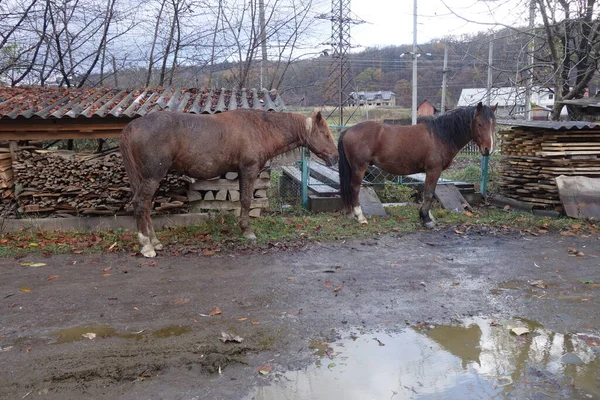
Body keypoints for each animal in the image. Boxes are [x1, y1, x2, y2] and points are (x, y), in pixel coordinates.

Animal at [119, 109, 340, 256]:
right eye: (325, 134)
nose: (335, 158)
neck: (261, 127)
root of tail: (132, 126)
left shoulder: (242, 173)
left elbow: (242, 201)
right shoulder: (249, 170)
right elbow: (246, 201)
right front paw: (248, 231)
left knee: (146, 206)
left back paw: (155, 241)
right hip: (152, 177)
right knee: (141, 204)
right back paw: (146, 246)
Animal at [338, 102, 496, 228]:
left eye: (493, 124)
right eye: (479, 124)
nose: (488, 149)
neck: (440, 136)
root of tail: (348, 130)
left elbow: (428, 192)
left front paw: (427, 216)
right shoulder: (433, 170)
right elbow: (429, 194)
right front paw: (426, 219)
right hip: (359, 168)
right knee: (355, 188)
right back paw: (360, 217)